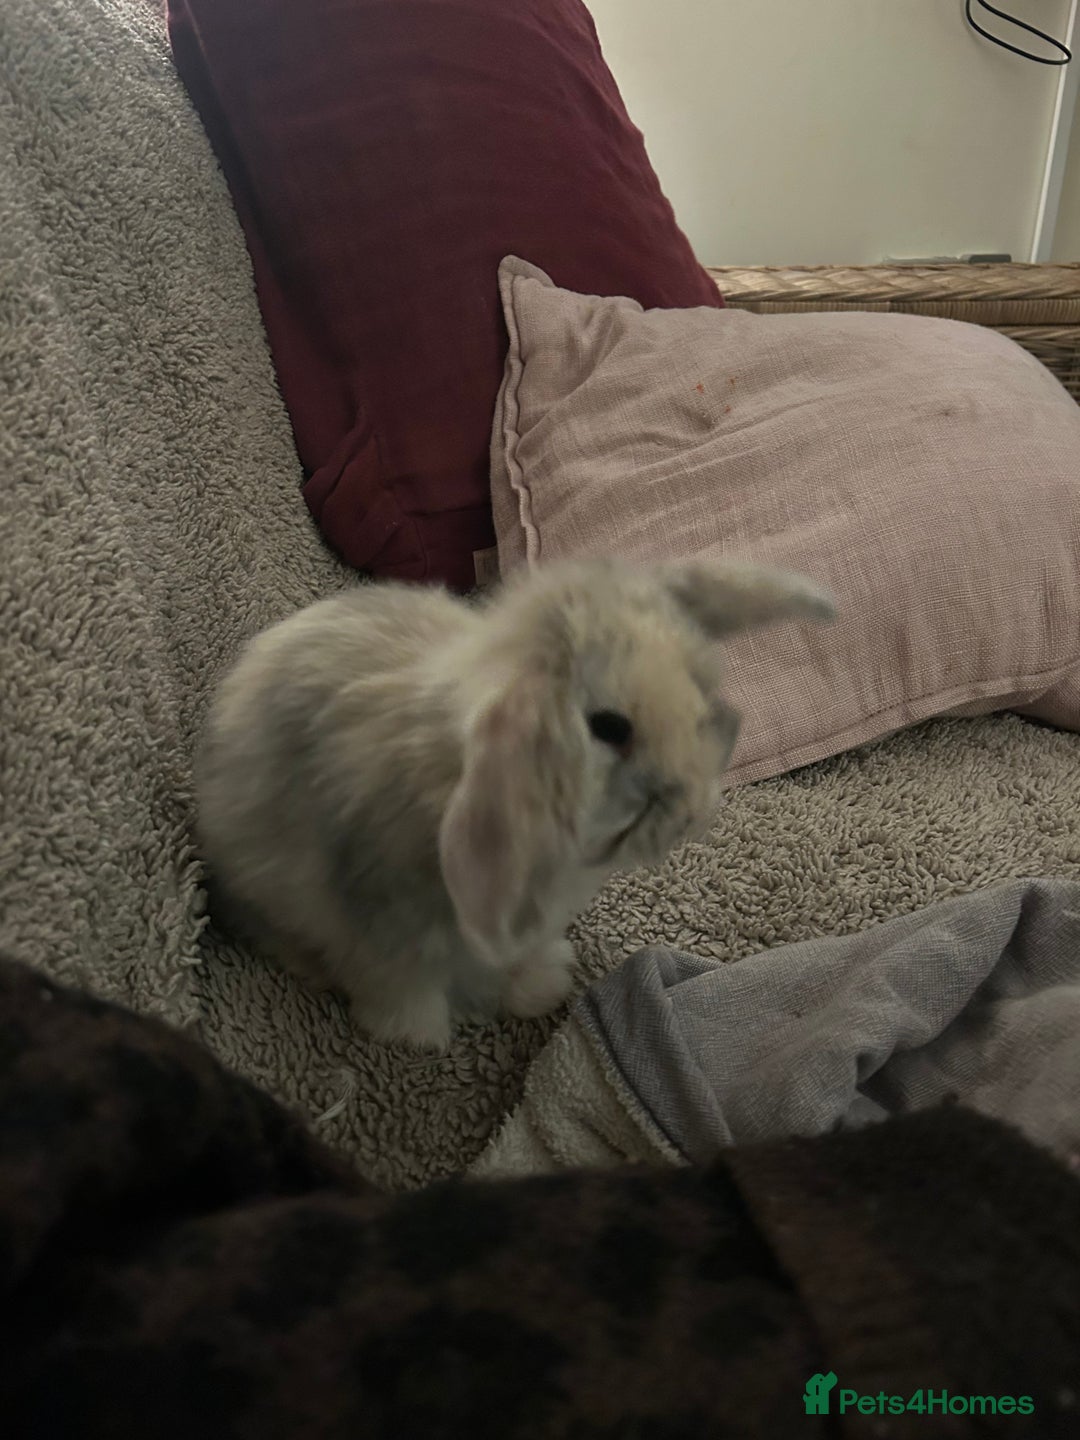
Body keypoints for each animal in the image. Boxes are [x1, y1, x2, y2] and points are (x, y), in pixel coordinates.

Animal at [195, 557, 834, 1051]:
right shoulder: (381, 927)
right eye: (609, 727)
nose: (694, 813)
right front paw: (417, 1037)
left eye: (698, 690)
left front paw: (542, 988)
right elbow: (401, 987)